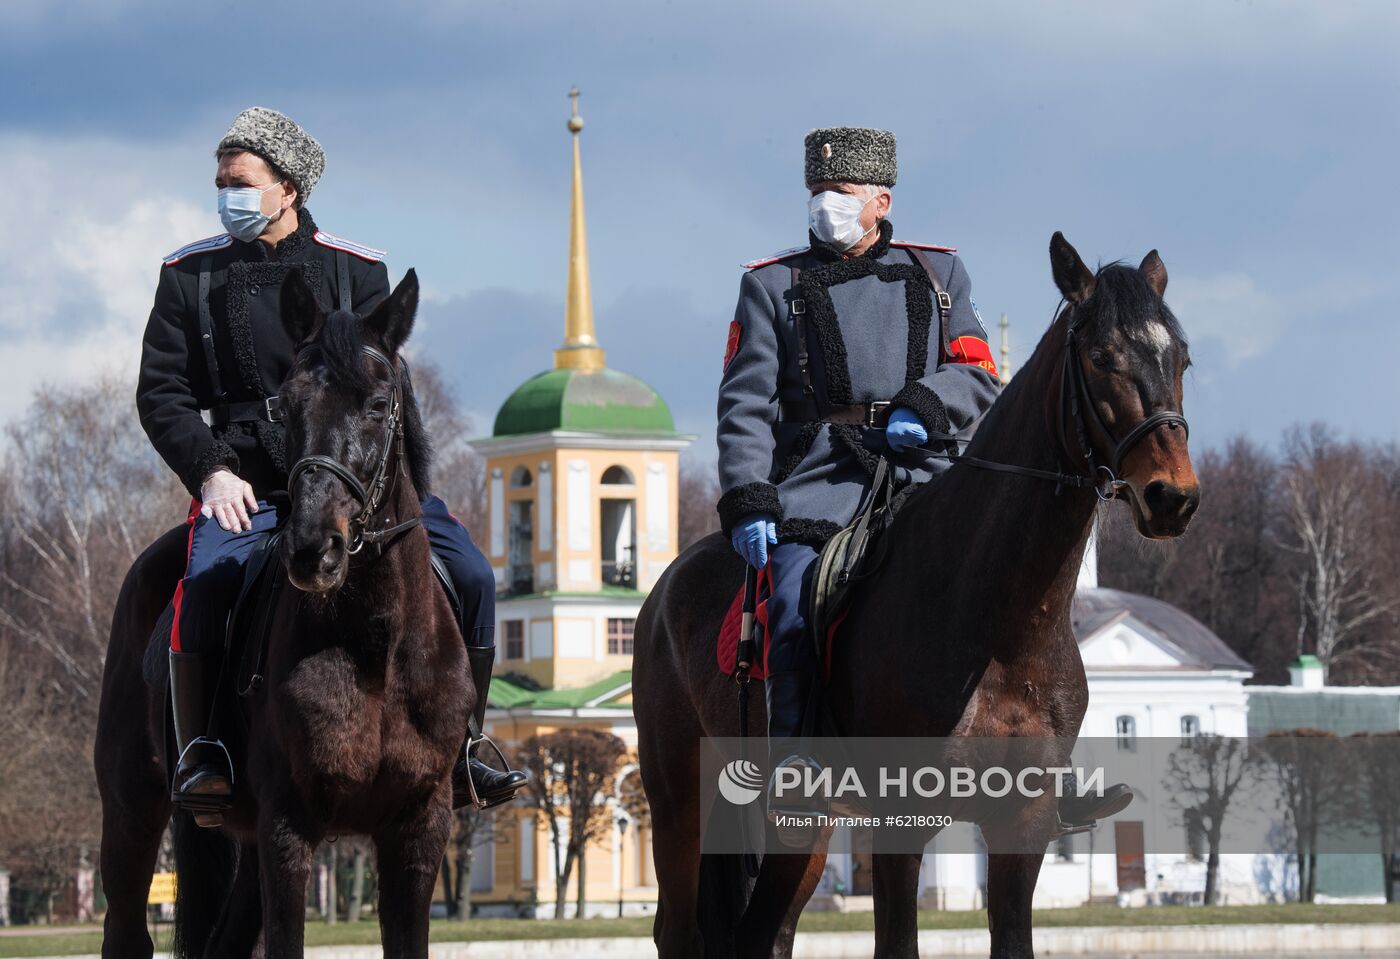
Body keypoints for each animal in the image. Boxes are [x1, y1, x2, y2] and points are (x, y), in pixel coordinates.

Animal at [93, 268, 464, 957]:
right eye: (286, 407)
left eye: (379, 404)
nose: (314, 548)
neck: (375, 649)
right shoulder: (287, 830)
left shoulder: (418, 829)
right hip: (132, 810)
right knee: (126, 928)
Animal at [635, 233, 1192, 957]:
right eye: (1102, 357)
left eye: (1180, 357)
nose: (1172, 496)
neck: (999, 625)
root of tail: (665, 589)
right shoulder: (900, 817)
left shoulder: (1024, 823)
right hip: (683, 803)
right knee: (683, 929)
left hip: (799, 827)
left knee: (767, 932)